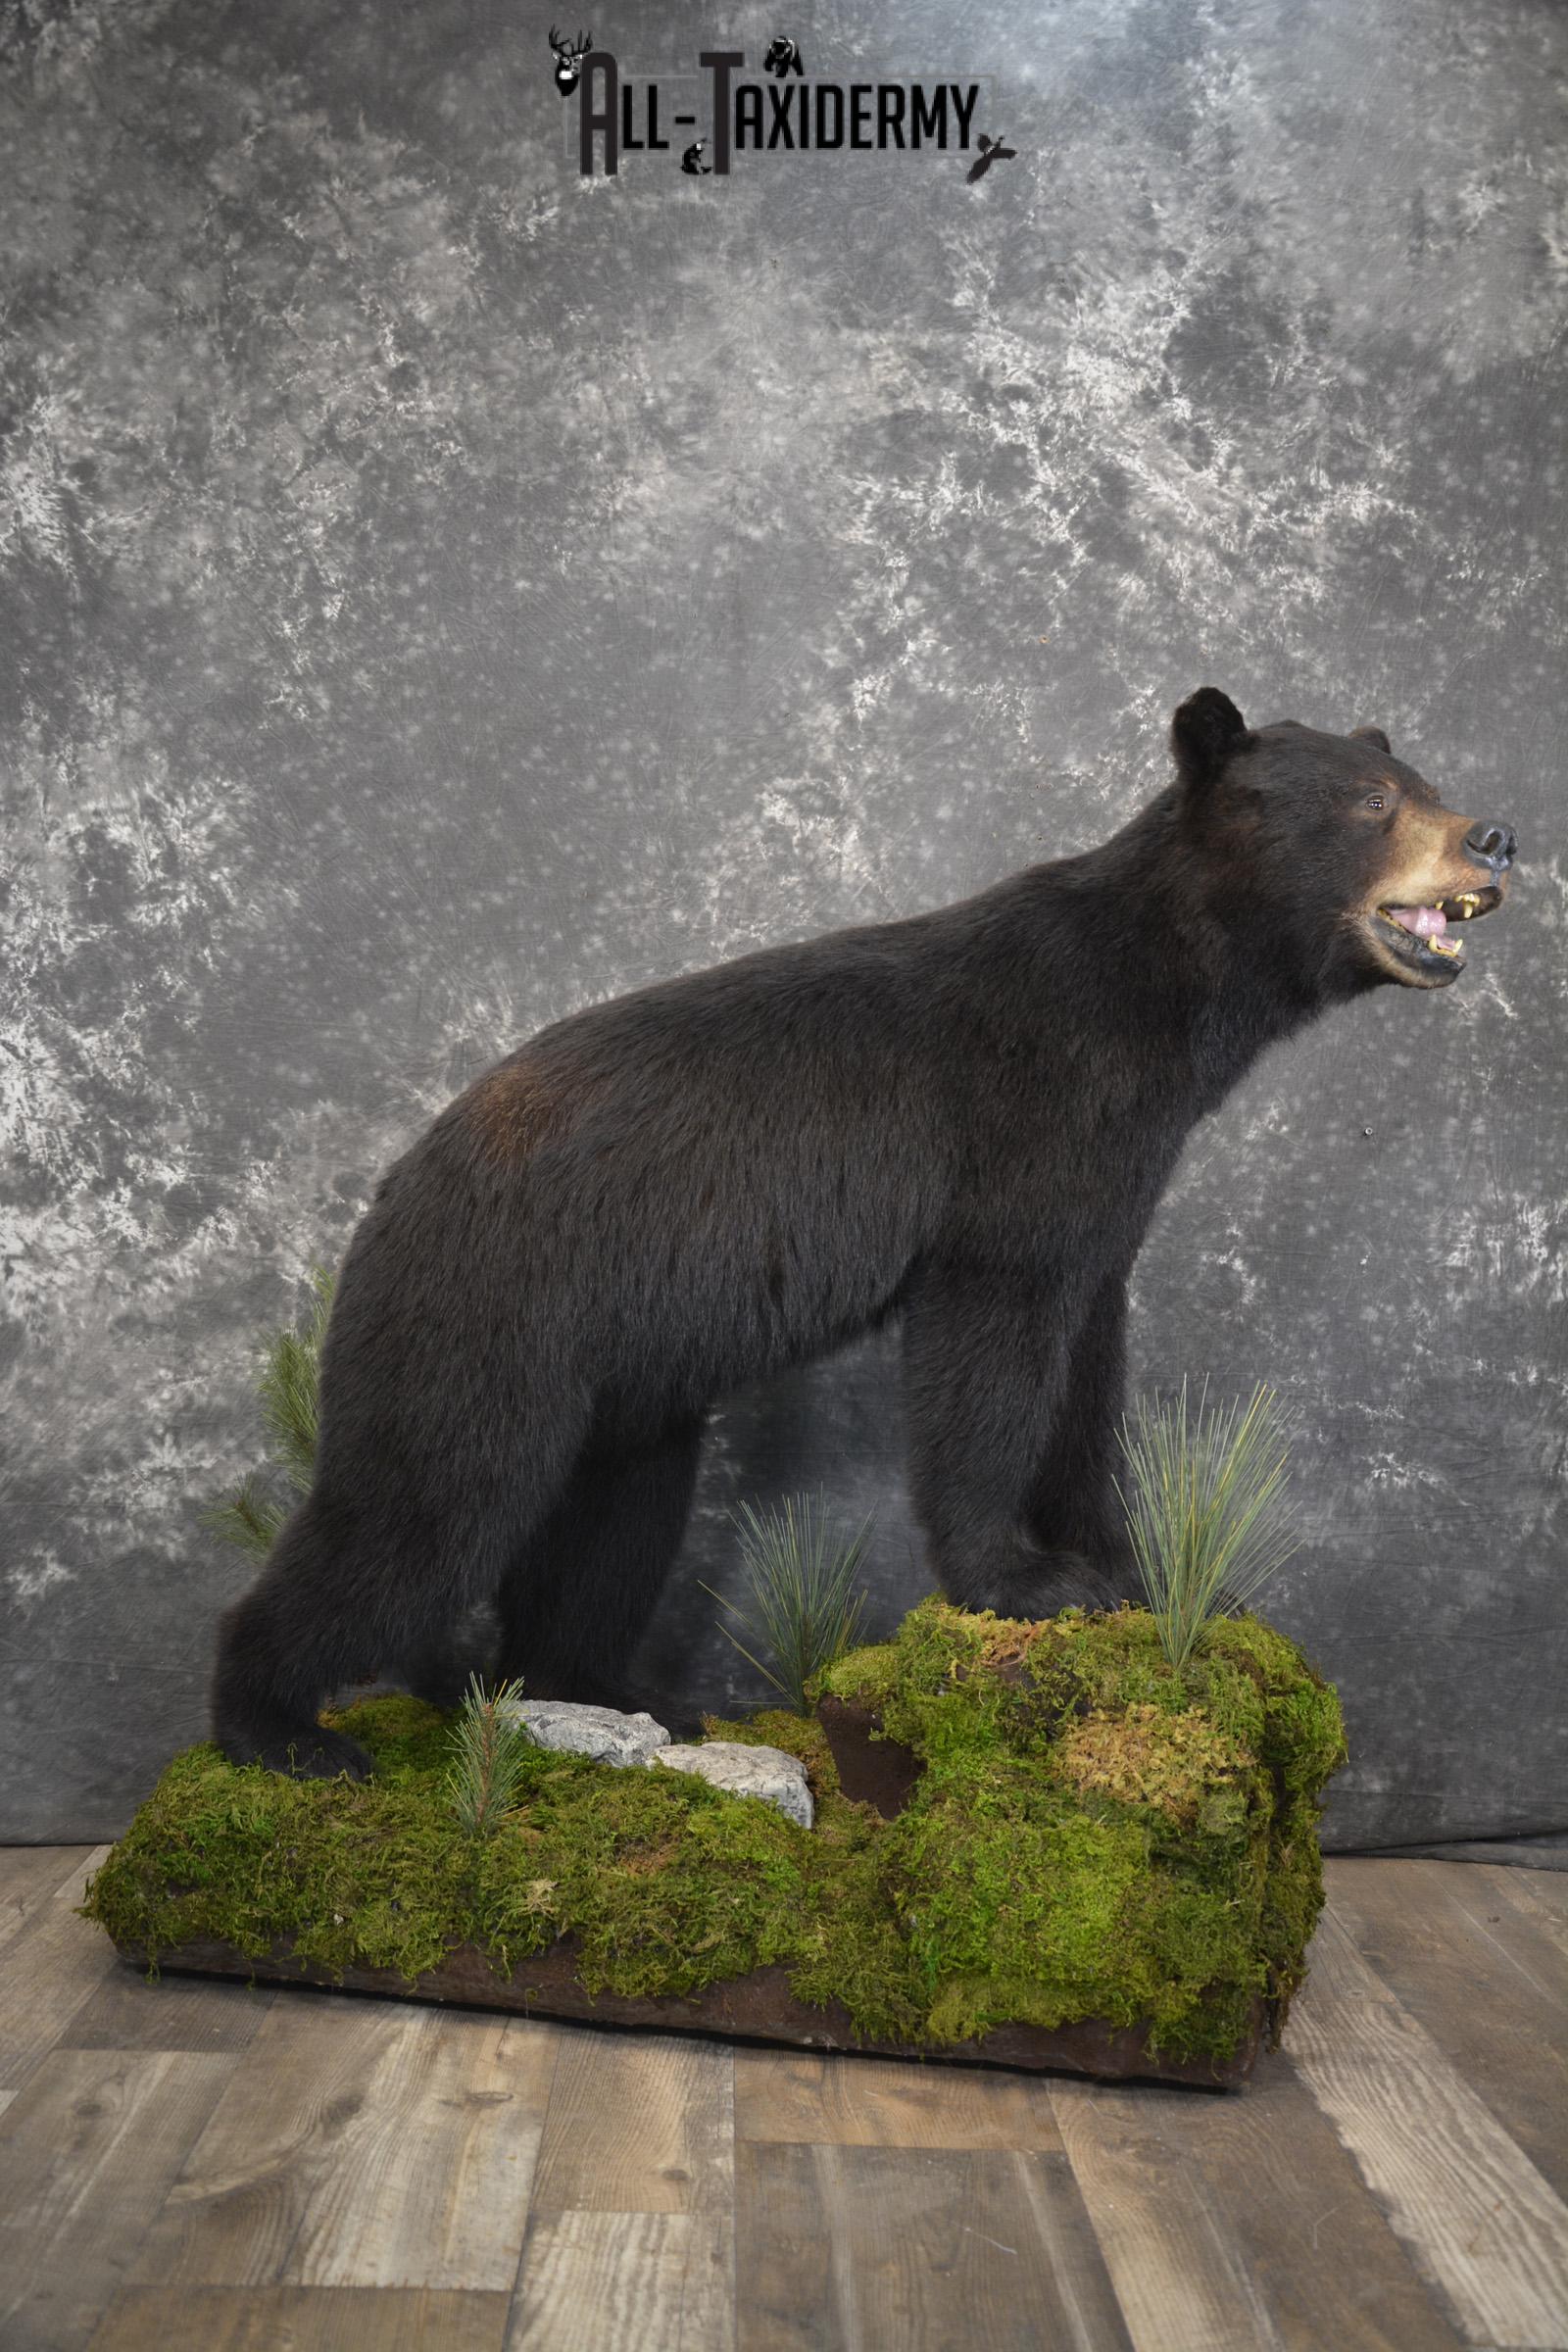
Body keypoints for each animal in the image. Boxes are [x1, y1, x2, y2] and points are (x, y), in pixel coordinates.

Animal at [210, 688, 1516, 1779]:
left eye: (1422, 777)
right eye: (1370, 801)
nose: (1494, 839)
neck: (1163, 999)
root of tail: (393, 1190)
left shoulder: (1111, 1192)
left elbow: (1089, 1370)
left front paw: (1118, 1570)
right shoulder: (1022, 1140)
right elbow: (988, 1357)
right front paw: (1015, 1579)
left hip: (621, 1384)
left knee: (608, 1529)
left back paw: (615, 1697)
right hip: (489, 1318)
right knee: (422, 1508)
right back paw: (281, 1731)